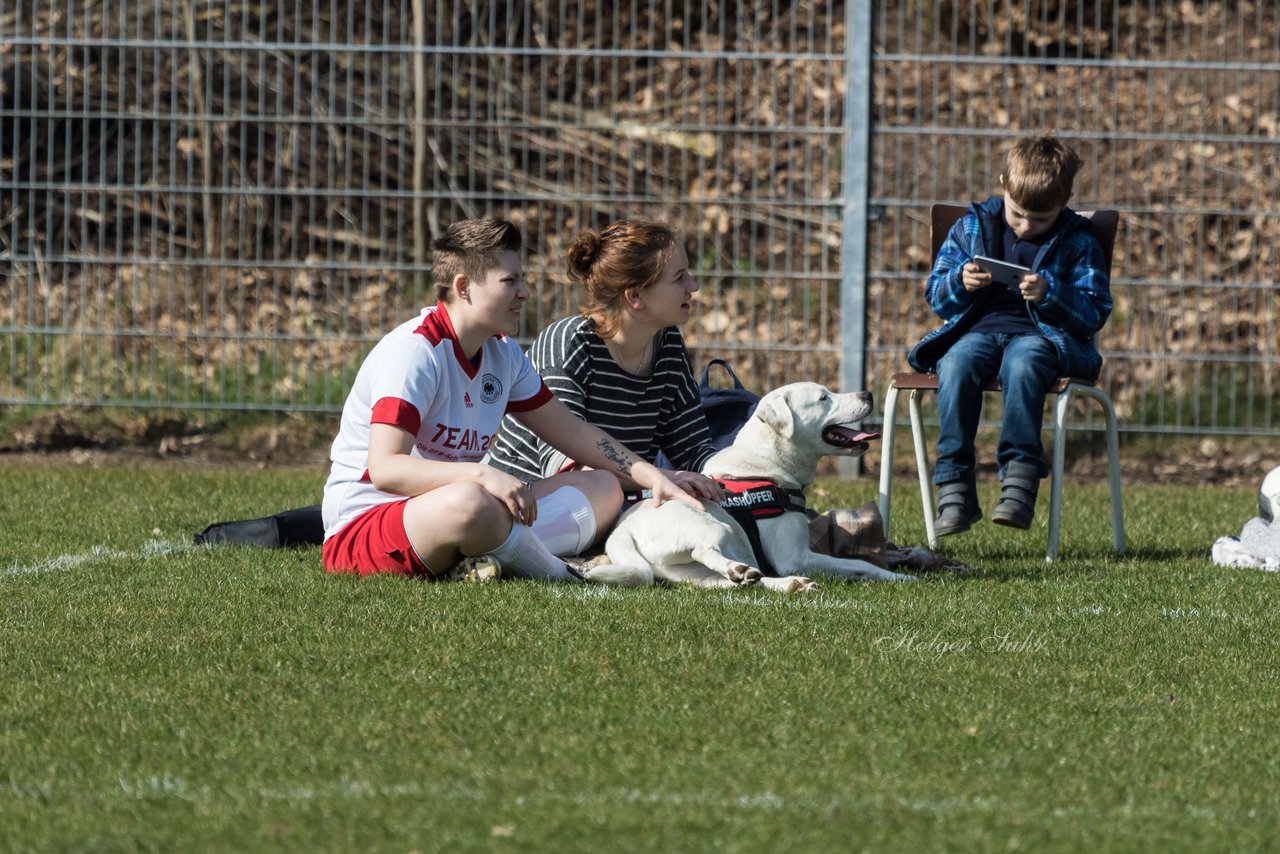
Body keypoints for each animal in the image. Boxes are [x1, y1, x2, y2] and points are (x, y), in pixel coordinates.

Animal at [586, 381, 916, 591]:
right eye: (824, 397)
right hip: (713, 528)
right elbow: (857, 563)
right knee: (705, 551)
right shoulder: (794, 557)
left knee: (732, 584)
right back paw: (745, 571)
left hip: (687, 572)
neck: (767, 462)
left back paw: (778, 583)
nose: (868, 394)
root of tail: (622, 529)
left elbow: (860, 565)